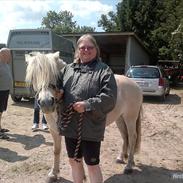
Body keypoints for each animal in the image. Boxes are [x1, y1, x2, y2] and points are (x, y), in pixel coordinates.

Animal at [25, 51, 143, 180]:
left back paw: (129, 166)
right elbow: (56, 150)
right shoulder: (54, 130)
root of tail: (135, 84)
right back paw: (121, 158)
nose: (46, 102)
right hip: (120, 119)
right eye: (33, 76)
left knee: (132, 137)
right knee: (125, 136)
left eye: (55, 75)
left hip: (130, 118)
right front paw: (53, 174)